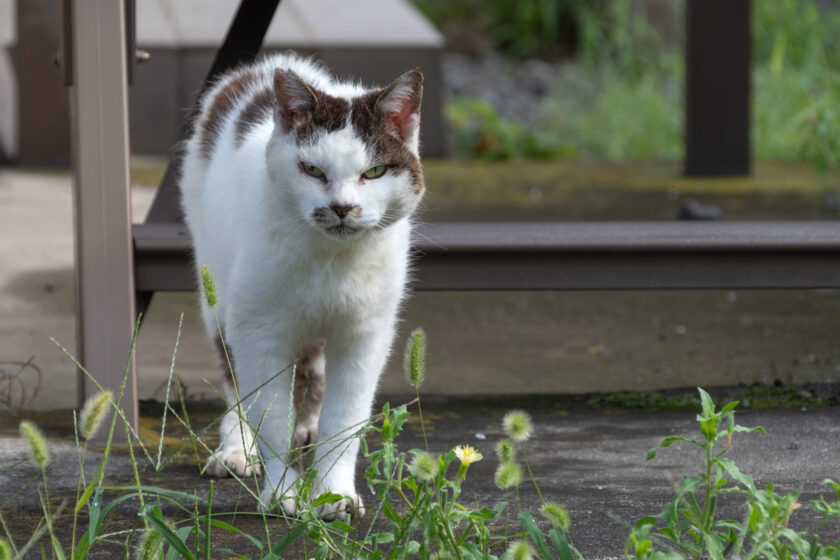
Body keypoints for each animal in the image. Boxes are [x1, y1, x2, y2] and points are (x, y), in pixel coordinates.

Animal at [180, 52, 424, 520]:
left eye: (374, 171)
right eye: (311, 170)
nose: (342, 207)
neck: (330, 259)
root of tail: (270, 65)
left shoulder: (365, 333)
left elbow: (344, 418)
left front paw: (335, 494)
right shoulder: (258, 329)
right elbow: (270, 414)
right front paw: (282, 494)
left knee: (312, 371)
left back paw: (306, 427)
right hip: (216, 293)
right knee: (235, 379)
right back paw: (237, 447)